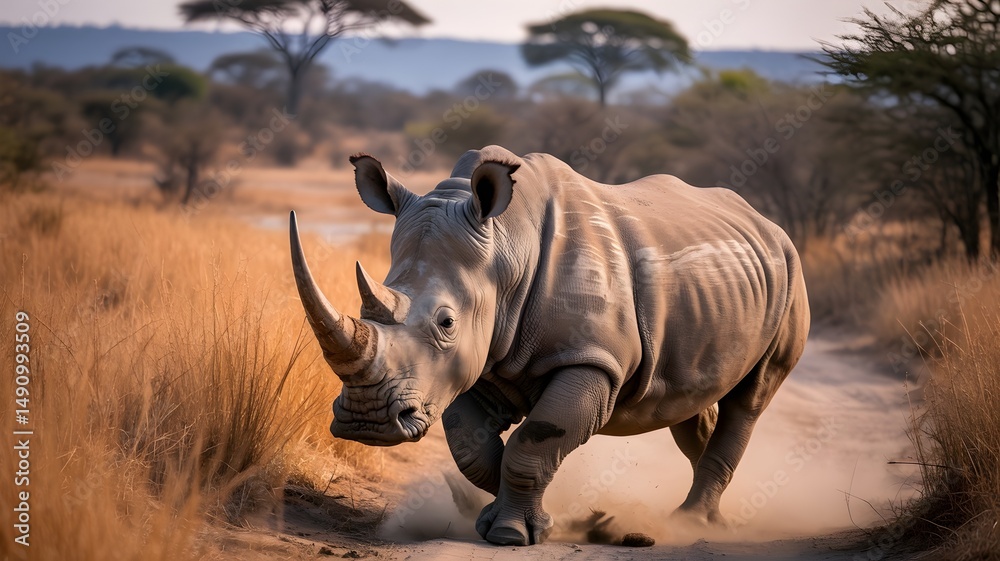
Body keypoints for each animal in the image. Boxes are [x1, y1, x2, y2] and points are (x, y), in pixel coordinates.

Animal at [289, 145, 810, 546]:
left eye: (446, 322)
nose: (367, 420)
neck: (506, 249)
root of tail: (765, 223)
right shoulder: (474, 361)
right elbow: (472, 446)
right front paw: (497, 519)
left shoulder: (592, 361)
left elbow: (536, 441)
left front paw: (512, 536)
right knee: (688, 402)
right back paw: (710, 517)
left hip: (790, 269)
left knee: (752, 397)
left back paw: (690, 523)